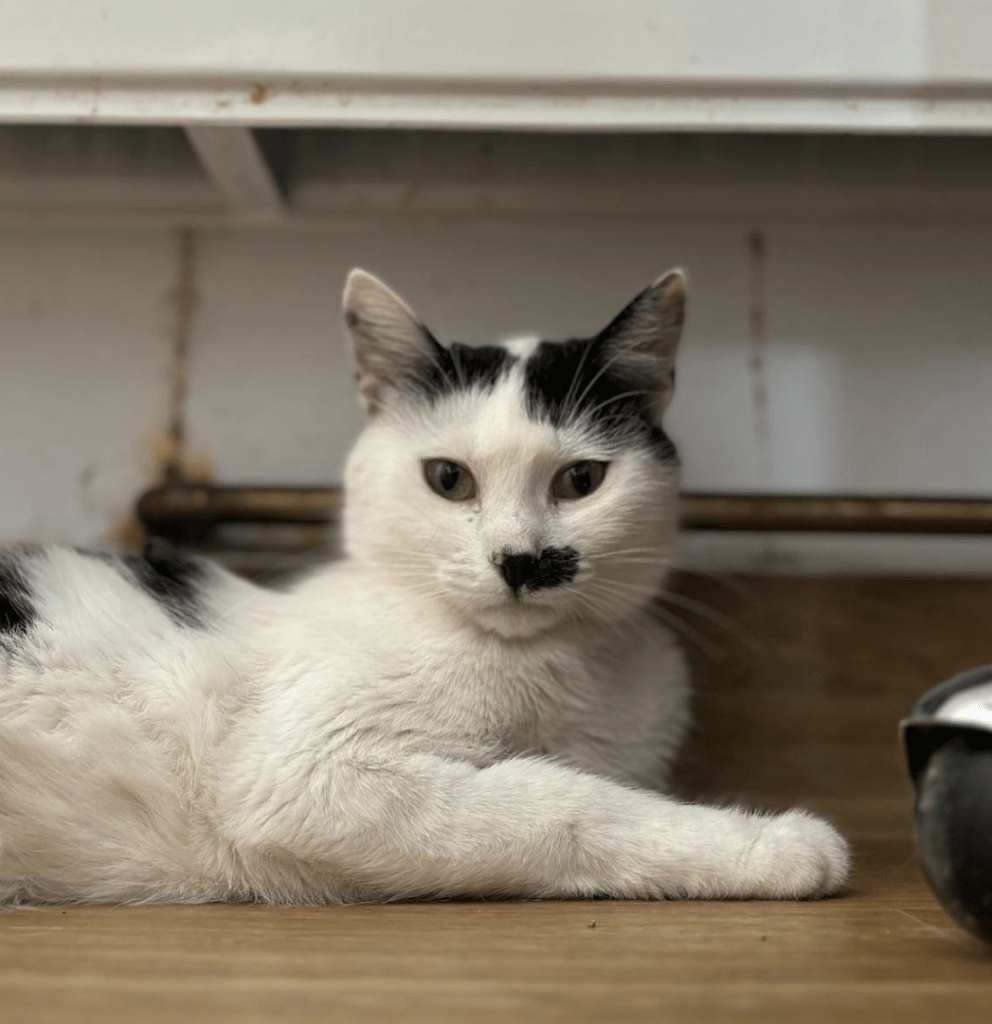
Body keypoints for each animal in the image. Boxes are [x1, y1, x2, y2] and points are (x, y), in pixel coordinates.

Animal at [1, 266, 851, 905]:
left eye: (581, 480)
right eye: (449, 479)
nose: (522, 559)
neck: (550, 673)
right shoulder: (306, 772)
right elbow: (556, 800)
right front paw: (774, 844)